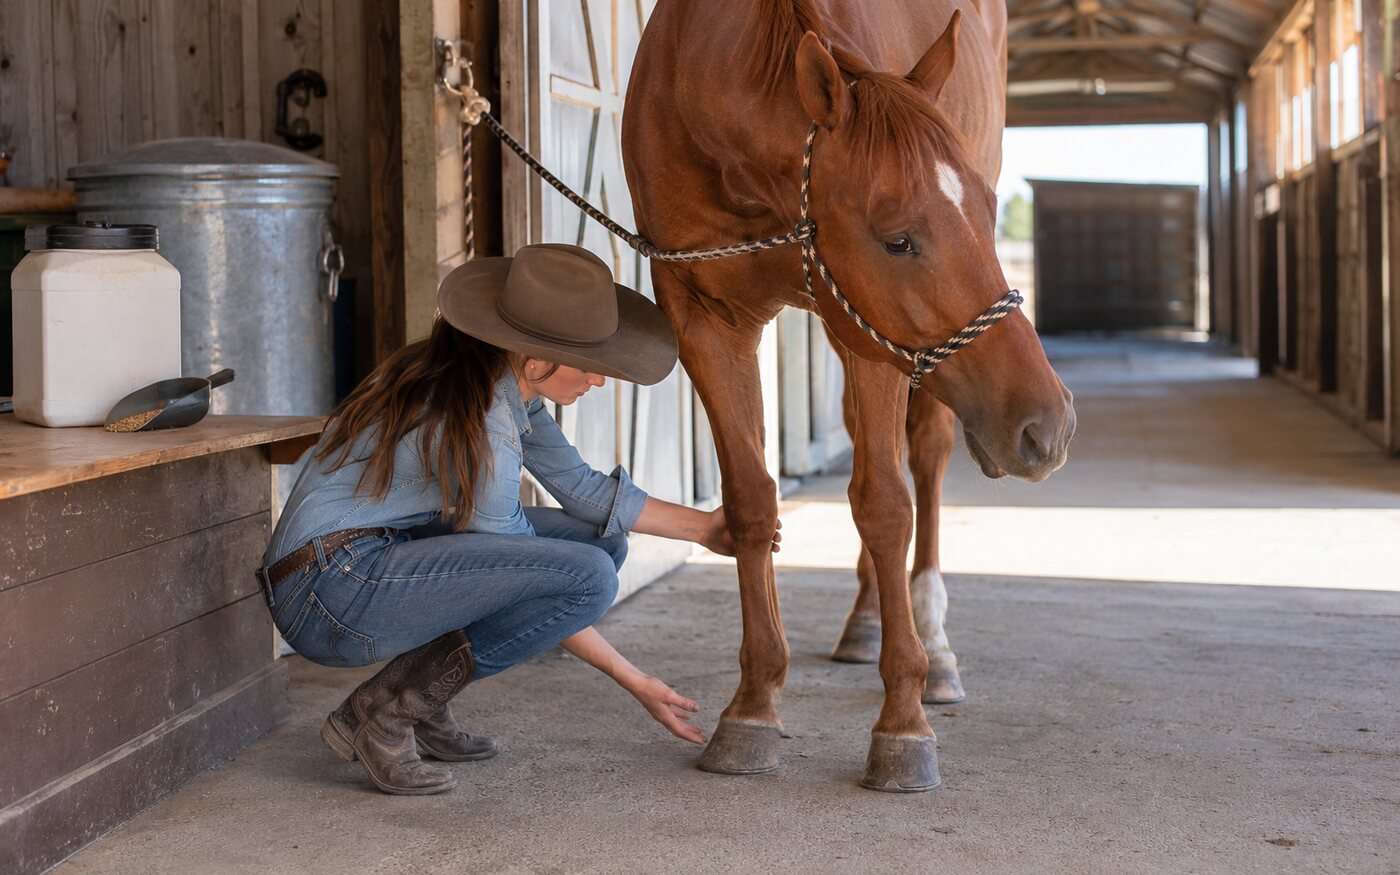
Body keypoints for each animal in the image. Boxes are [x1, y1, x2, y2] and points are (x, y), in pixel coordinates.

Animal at [622, 0, 1075, 791]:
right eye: (897, 241)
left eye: (992, 211)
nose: (1048, 426)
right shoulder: (705, 315)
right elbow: (751, 504)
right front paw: (753, 706)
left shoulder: (877, 342)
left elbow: (887, 505)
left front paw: (904, 722)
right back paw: (867, 620)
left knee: (920, 461)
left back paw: (933, 643)